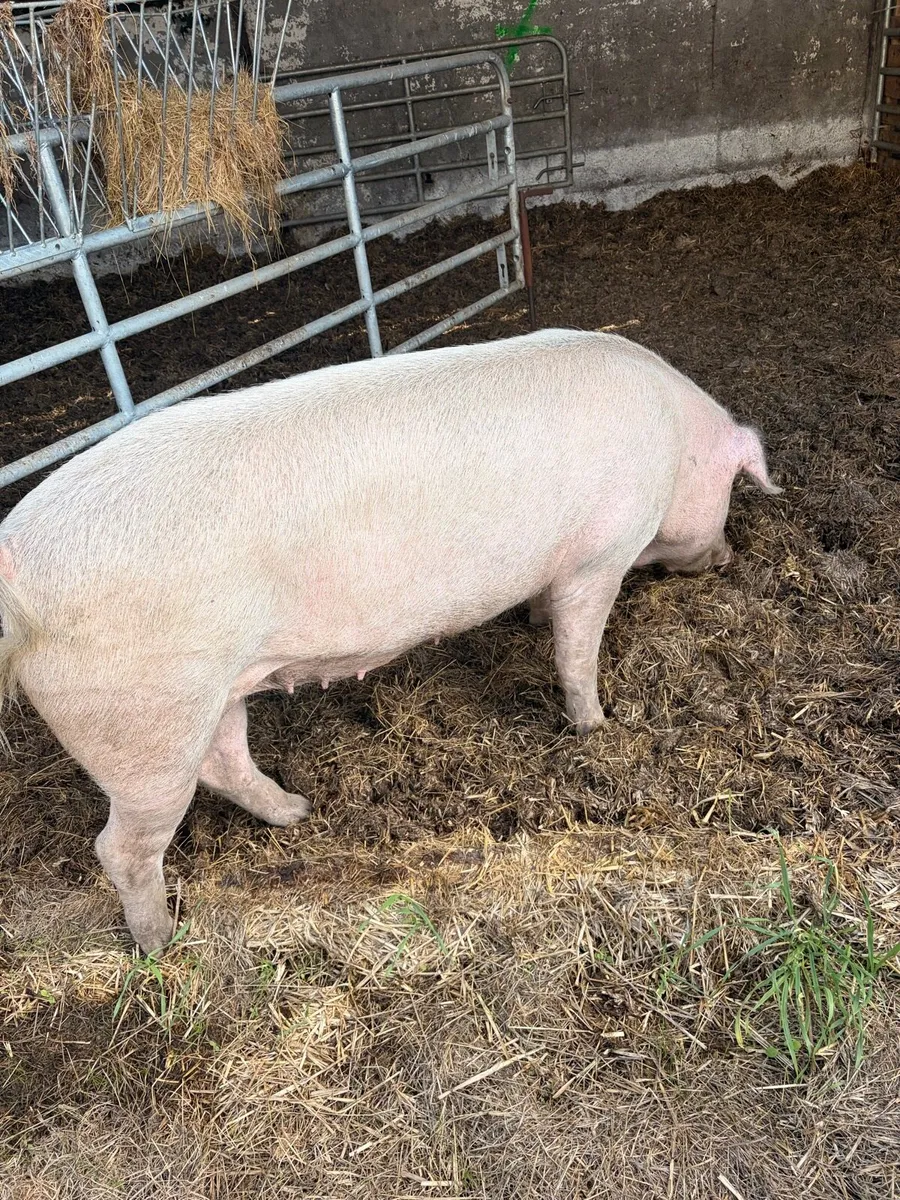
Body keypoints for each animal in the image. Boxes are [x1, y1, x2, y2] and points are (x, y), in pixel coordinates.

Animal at [0, 330, 780, 951]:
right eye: (732, 489)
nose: (727, 557)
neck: (676, 442)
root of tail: (16, 563)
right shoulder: (601, 554)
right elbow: (578, 647)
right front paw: (596, 725)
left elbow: (547, 612)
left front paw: (533, 622)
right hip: (142, 719)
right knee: (122, 845)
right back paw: (163, 942)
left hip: (208, 695)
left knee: (224, 762)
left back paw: (297, 811)